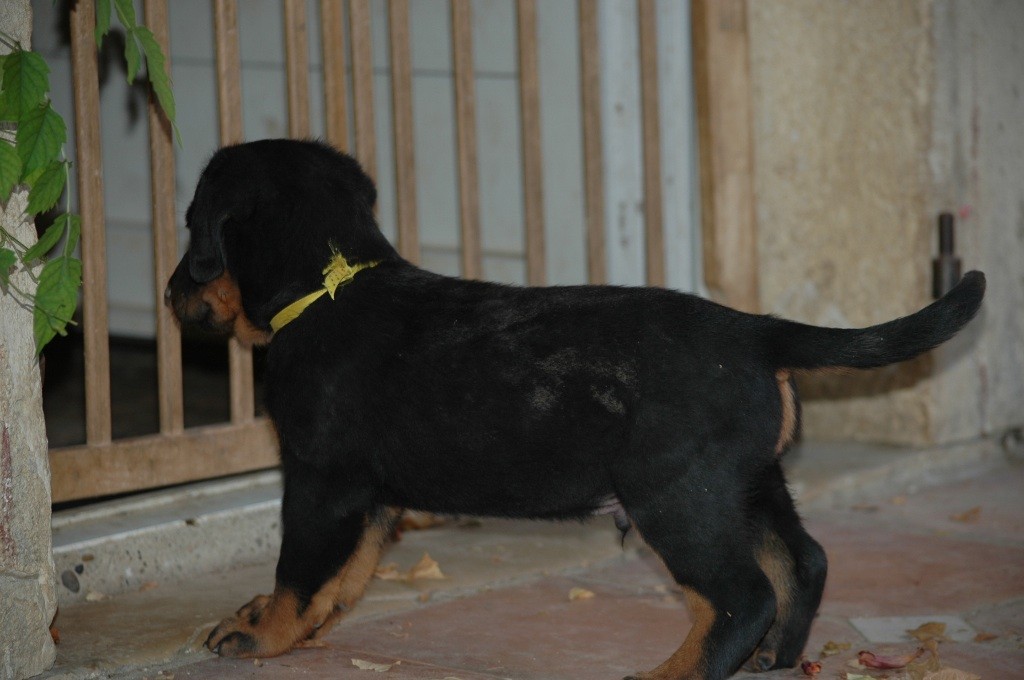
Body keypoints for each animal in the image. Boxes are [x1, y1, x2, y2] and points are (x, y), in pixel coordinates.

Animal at [166, 139, 985, 680]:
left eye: (193, 227)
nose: (171, 294)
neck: (330, 285)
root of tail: (755, 330)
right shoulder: (367, 496)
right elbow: (344, 576)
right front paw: (287, 627)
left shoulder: (319, 480)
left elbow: (298, 571)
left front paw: (262, 634)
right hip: (745, 484)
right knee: (802, 561)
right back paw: (777, 662)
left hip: (677, 497)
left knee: (740, 597)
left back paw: (673, 675)